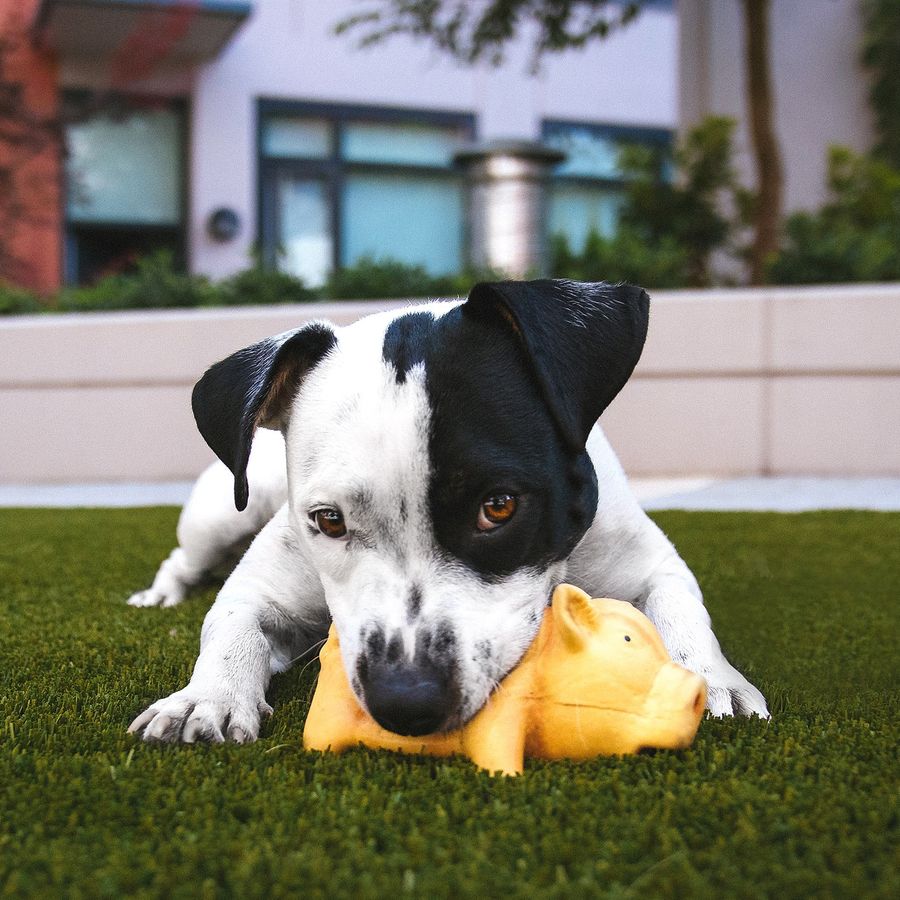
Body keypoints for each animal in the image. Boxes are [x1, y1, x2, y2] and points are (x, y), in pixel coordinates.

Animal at [126, 278, 768, 740]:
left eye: (499, 507)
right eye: (328, 520)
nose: (406, 701)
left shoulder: (651, 564)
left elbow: (681, 610)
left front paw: (710, 678)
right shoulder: (264, 588)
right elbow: (231, 625)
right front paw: (204, 698)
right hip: (222, 513)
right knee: (183, 559)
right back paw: (160, 595)